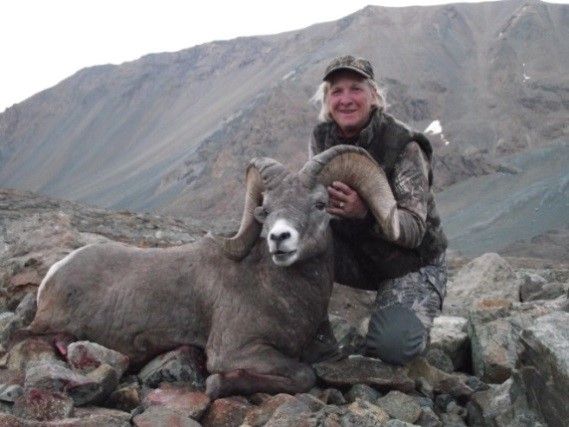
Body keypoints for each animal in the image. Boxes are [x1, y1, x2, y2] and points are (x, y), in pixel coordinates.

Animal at [29, 145, 400, 398]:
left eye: (321, 204)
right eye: (266, 209)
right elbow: (304, 375)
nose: (280, 238)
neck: (280, 294)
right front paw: (220, 384)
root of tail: (54, 274)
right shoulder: (235, 351)